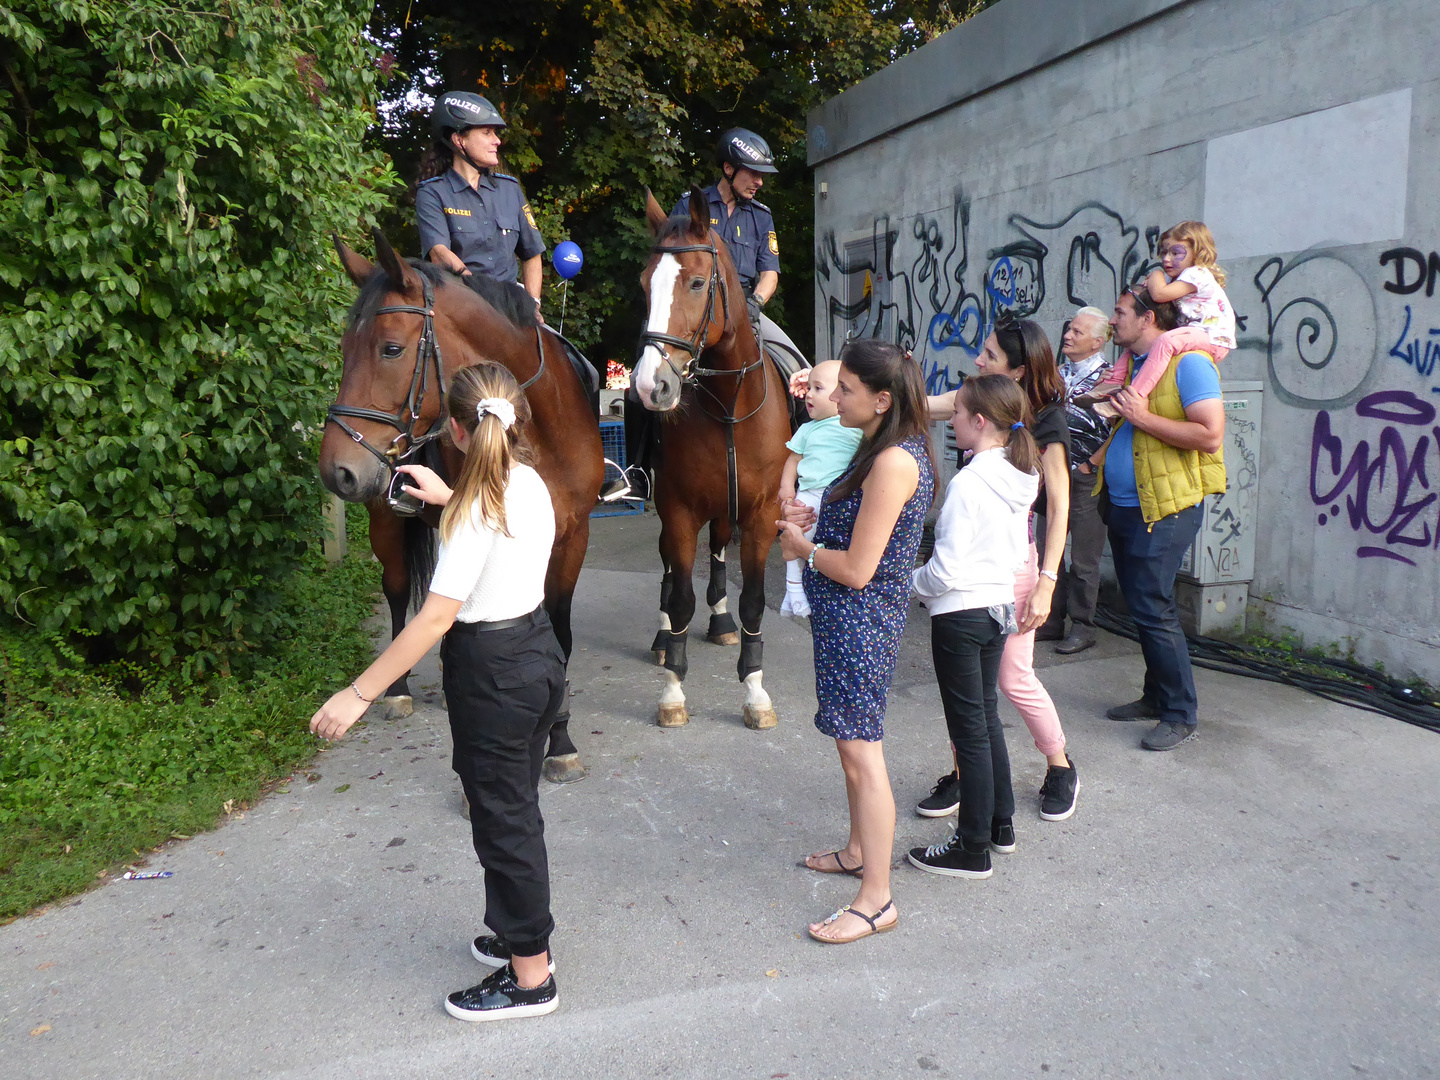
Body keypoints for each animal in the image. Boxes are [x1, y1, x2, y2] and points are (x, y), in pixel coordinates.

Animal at [321, 230, 601, 789]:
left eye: (390, 348)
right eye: (342, 350)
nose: (336, 471)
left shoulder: (571, 538)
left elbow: (558, 633)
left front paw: (559, 740)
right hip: (385, 523)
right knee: (397, 591)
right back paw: (397, 689)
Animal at [633, 192, 789, 737]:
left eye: (698, 283)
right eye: (644, 284)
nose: (649, 386)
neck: (727, 406)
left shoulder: (761, 515)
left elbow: (754, 601)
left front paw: (757, 694)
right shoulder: (679, 509)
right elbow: (679, 595)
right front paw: (673, 692)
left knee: (720, 551)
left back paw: (720, 621)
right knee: (667, 572)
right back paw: (664, 639)